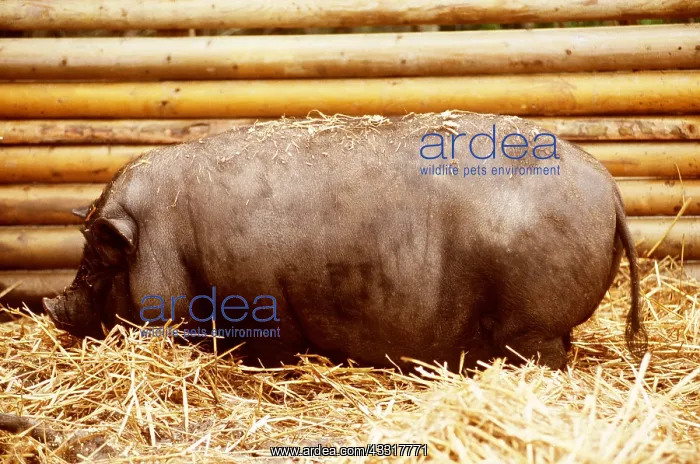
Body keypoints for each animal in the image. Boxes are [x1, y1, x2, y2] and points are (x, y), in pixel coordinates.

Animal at [43, 112, 647, 371]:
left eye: (96, 262)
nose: (55, 308)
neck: (165, 236)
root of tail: (609, 186)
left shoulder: (262, 305)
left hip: (531, 324)